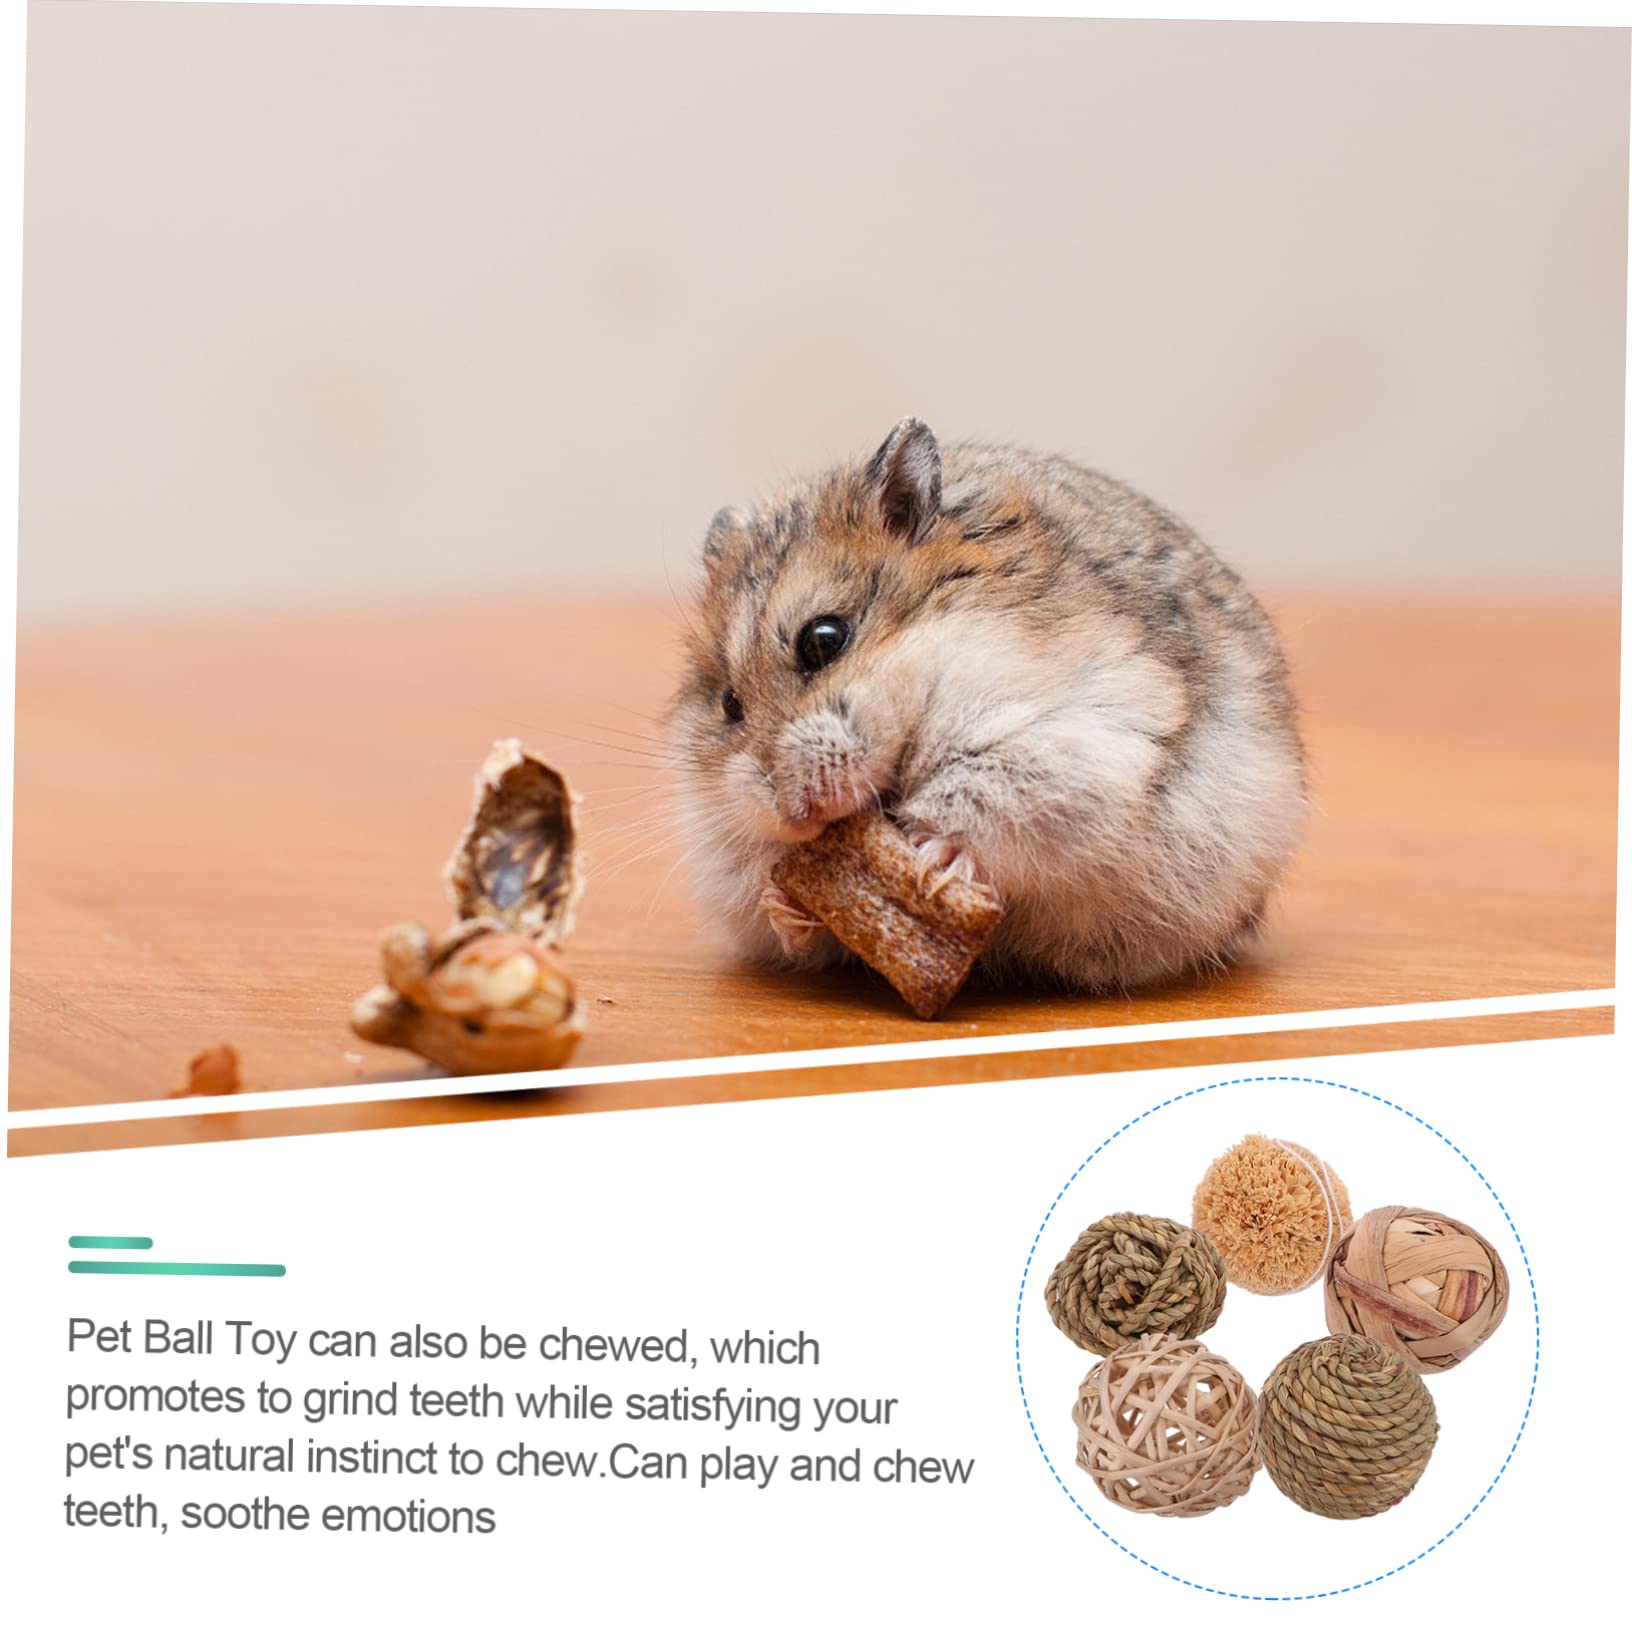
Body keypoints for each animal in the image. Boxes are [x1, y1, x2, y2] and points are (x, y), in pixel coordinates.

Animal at [670, 418, 1306, 994]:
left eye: (824, 639)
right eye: (729, 702)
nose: (794, 816)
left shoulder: (1071, 745)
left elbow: (977, 802)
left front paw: (931, 861)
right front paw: (781, 897)